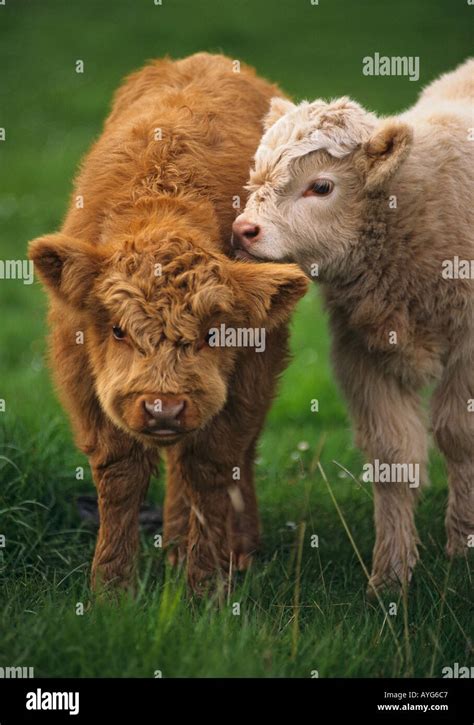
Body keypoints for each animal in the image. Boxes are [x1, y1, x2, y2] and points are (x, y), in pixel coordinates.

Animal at [28, 53, 308, 592]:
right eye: (117, 329)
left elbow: (211, 469)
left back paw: (232, 547)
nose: (164, 409)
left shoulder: (249, 377)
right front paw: (111, 589)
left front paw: (204, 585)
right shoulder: (85, 382)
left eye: (214, 332)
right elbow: (120, 475)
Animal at [234, 59, 474, 592]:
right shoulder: (363, 355)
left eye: (321, 186)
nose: (243, 231)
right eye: (257, 178)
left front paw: (464, 549)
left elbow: (458, 435)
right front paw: (390, 577)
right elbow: (393, 457)